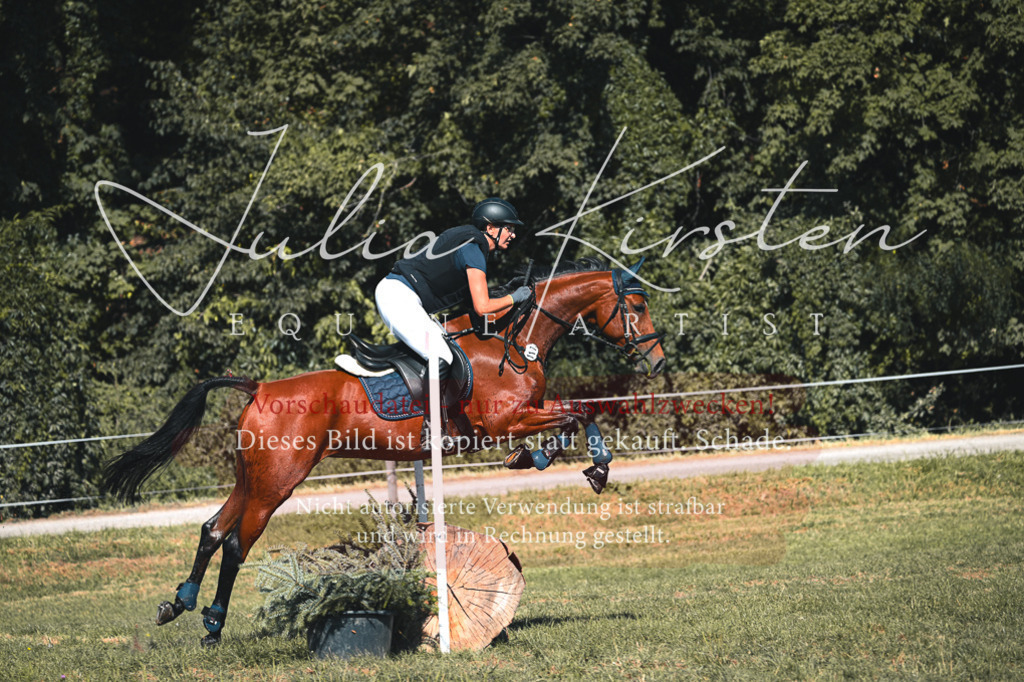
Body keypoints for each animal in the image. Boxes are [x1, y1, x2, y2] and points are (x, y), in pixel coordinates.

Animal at [102, 257, 666, 646]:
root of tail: (259, 387)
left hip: (251, 477)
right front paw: (568, 463)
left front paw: (557, 461)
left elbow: (576, 411)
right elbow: (575, 415)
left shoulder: (528, 411)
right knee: (238, 543)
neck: (512, 346)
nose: (658, 361)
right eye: (637, 308)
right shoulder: (503, 421)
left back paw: (181, 605)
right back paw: (212, 624)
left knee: (212, 530)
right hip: (276, 483)